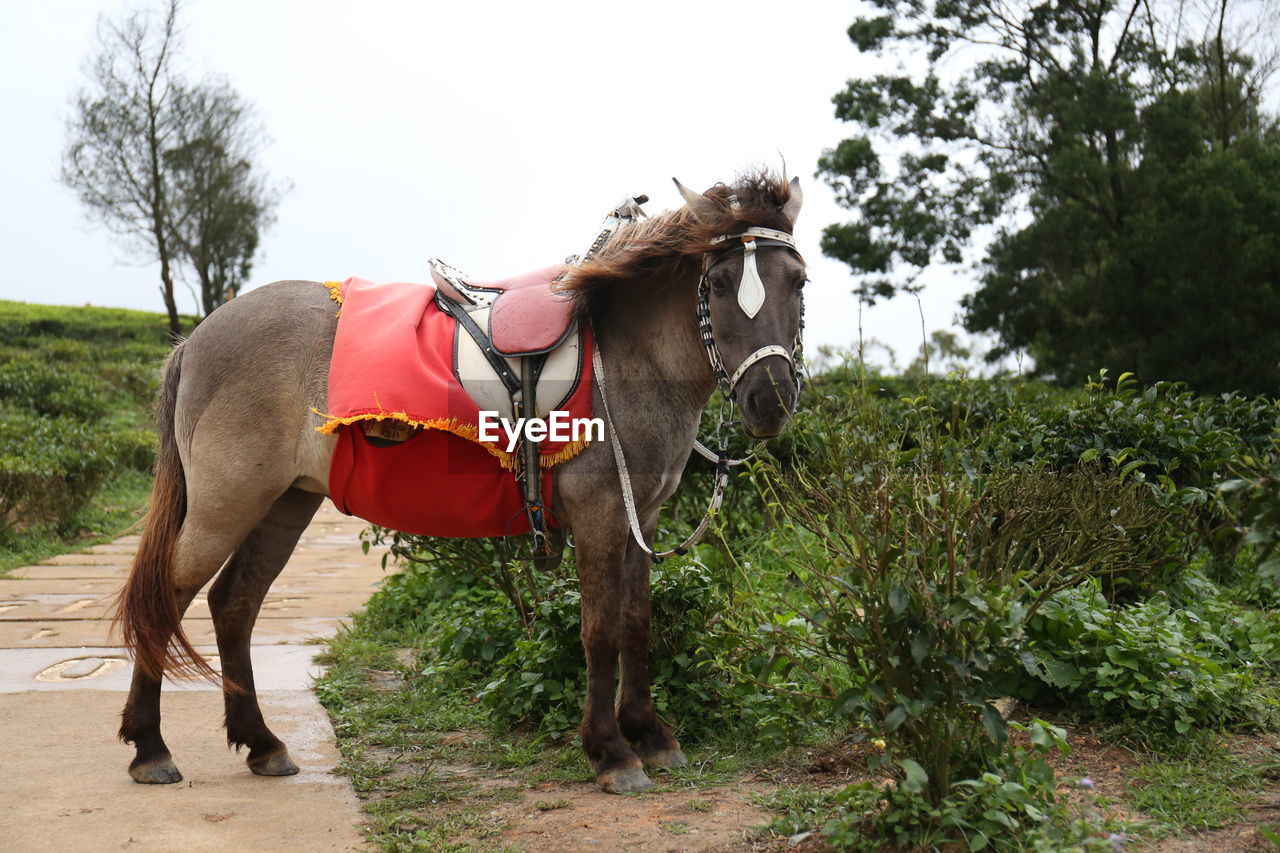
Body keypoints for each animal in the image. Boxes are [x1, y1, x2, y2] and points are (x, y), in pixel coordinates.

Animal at [115, 166, 803, 788]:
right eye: (718, 283)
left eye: (799, 280)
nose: (769, 400)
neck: (627, 356)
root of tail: (196, 336)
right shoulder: (602, 515)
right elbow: (601, 629)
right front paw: (610, 752)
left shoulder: (644, 516)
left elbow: (637, 621)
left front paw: (651, 734)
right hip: (226, 502)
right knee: (168, 595)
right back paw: (150, 747)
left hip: (284, 502)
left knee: (234, 603)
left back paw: (261, 742)